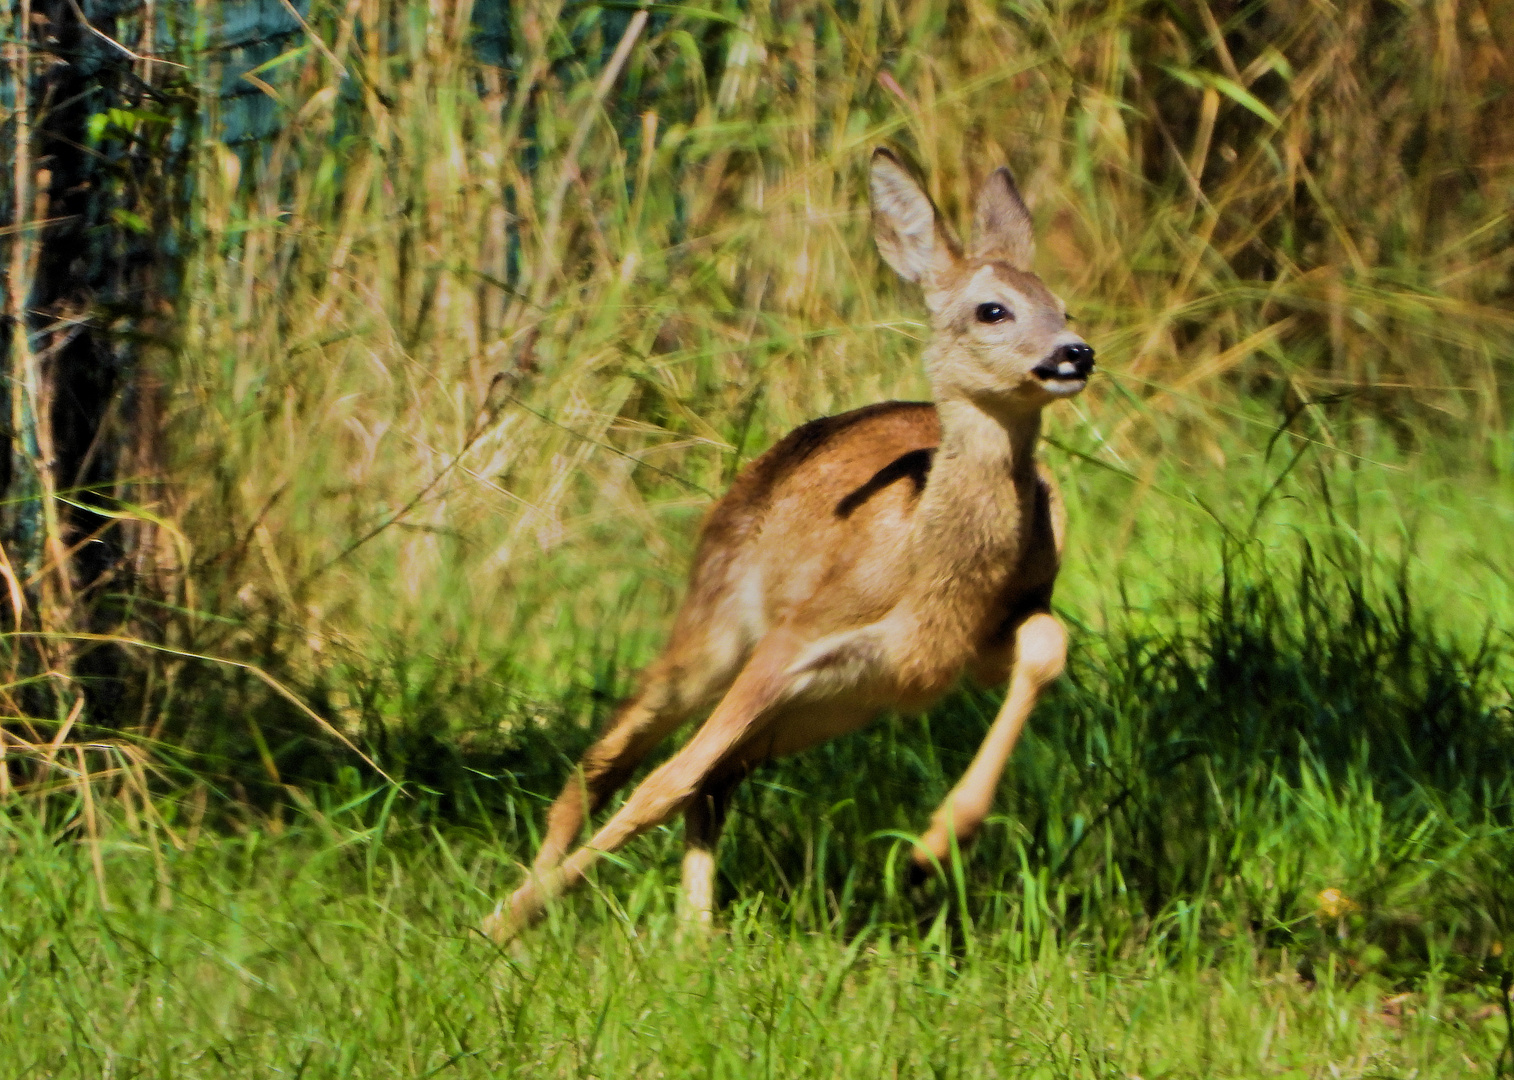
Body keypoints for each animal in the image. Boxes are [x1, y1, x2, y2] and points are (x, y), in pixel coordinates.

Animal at [490, 147, 1096, 939]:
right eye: (992, 309)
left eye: (1063, 304)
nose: (1075, 353)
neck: (929, 566)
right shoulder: (796, 636)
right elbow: (663, 781)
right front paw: (504, 922)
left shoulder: (960, 651)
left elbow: (1048, 646)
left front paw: (934, 846)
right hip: (715, 631)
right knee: (611, 760)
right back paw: (528, 901)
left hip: (826, 709)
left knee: (711, 778)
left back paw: (693, 933)